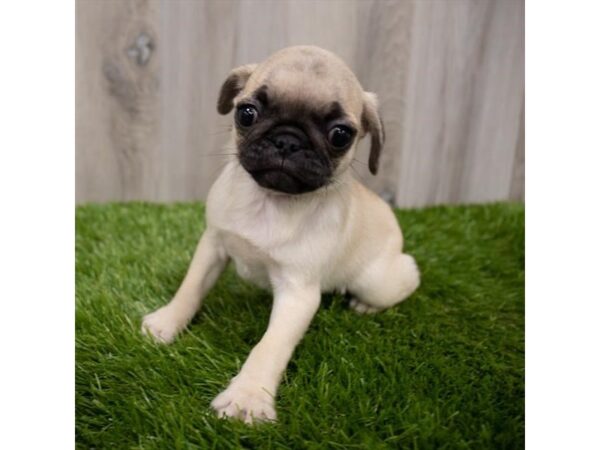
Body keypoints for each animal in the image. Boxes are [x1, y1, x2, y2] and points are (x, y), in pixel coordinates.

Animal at [142, 46, 420, 426]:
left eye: (340, 135)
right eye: (246, 113)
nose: (288, 140)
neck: (269, 201)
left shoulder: (297, 294)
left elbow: (269, 346)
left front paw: (246, 397)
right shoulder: (213, 245)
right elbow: (191, 288)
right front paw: (167, 322)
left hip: (378, 279)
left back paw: (365, 303)